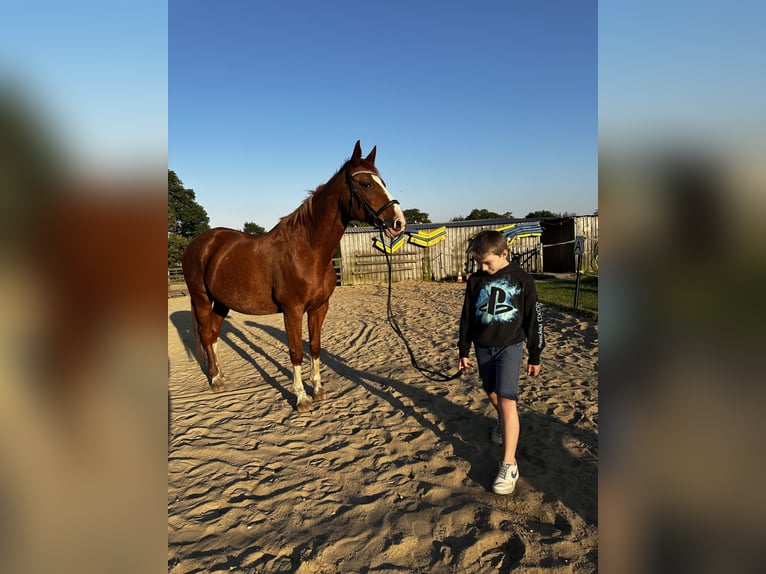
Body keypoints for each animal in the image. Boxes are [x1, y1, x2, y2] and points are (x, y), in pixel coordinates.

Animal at [183, 144, 408, 414]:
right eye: (365, 184)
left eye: (383, 182)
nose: (398, 222)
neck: (307, 250)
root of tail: (199, 242)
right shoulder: (293, 310)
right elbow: (296, 352)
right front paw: (302, 397)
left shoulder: (319, 307)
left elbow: (315, 347)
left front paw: (318, 389)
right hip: (202, 298)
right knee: (206, 335)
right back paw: (216, 379)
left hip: (222, 302)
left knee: (214, 333)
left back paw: (220, 374)